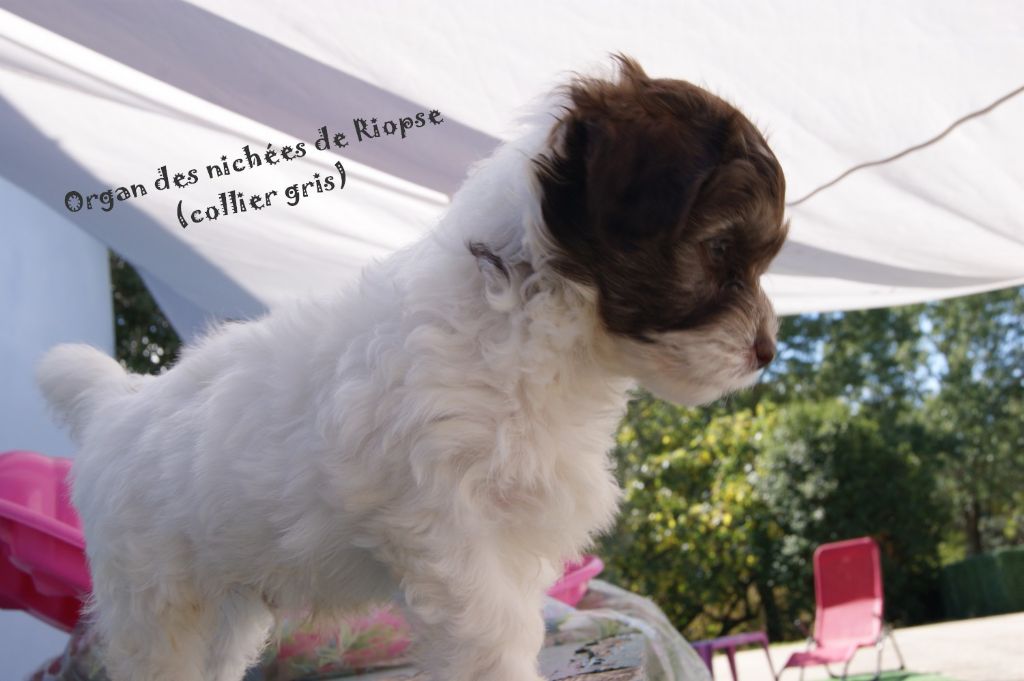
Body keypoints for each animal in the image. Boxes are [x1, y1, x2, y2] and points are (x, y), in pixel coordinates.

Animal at [37, 56, 787, 681]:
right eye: (721, 248)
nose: (768, 350)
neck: (527, 319)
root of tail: (118, 401)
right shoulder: (449, 526)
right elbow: (493, 639)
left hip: (227, 596)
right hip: (155, 595)